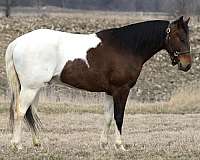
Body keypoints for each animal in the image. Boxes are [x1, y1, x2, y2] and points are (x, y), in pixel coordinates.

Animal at [5, 15, 191, 151]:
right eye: (179, 37)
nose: (187, 65)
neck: (126, 47)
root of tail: (17, 43)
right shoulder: (121, 90)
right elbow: (119, 116)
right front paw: (120, 146)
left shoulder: (110, 91)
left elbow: (108, 117)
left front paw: (104, 144)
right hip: (30, 88)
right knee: (20, 111)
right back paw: (17, 145)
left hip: (34, 88)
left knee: (29, 113)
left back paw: (37, 143)